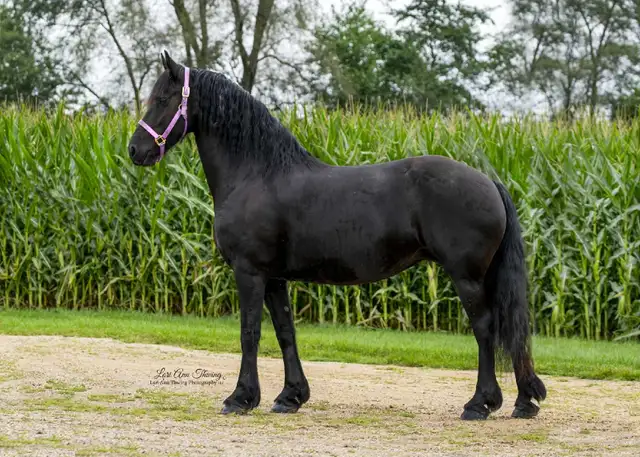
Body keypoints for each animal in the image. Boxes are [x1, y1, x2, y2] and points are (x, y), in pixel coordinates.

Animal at [127, 51, 546, 421]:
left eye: (162, 99)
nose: (135, 150)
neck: (256, 174)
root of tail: (488, 182)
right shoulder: (275, 278)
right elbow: (285, 332)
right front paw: (290, 397)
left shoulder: (250, 273)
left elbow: (250, 333)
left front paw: (240, 398)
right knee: (509, 328)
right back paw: (523, 402)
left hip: (467, 278)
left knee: (486, 330)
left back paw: (480, 404)